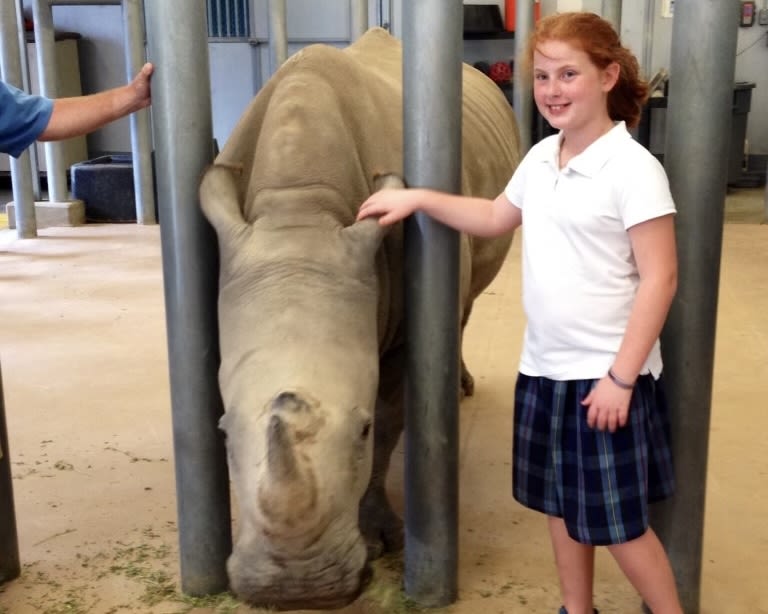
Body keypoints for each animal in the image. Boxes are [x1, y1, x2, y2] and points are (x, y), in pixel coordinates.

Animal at [199, 27, 521, 610]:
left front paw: (379, 539)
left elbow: (393, 417)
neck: (299, 212)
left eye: (362, 429)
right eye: (224, 432)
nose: (297, 591)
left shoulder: (398, 336)